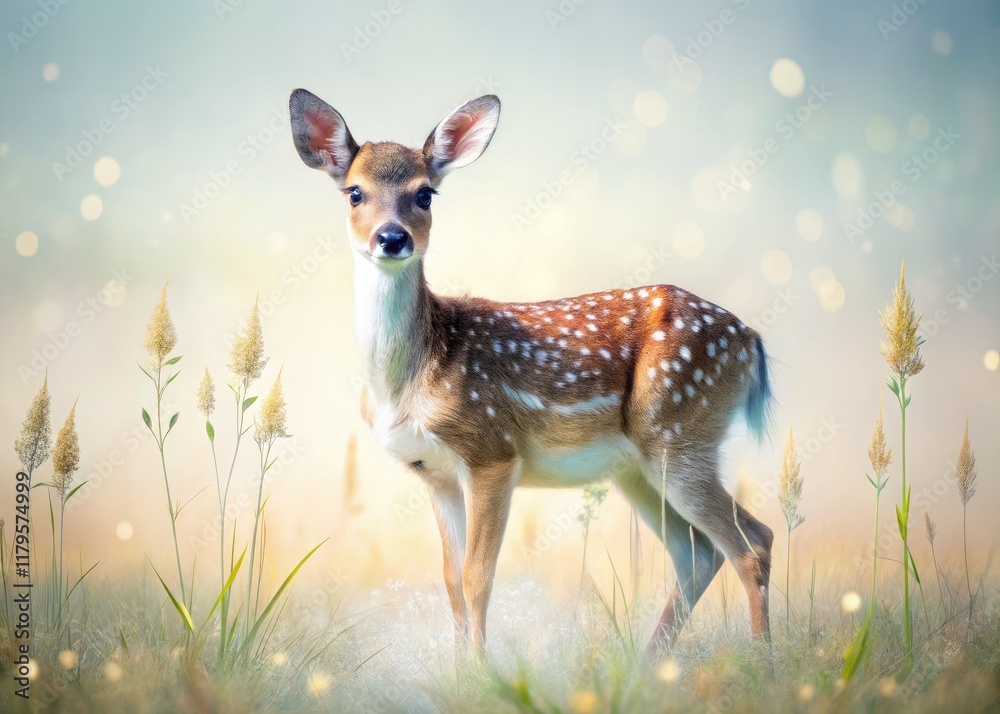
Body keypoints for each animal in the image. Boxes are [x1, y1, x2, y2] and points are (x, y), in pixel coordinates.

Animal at [288, 89, 775, 659]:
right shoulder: (433, 472)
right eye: (354, 193)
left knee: (751, 545)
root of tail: (751, 340)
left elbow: (478, 577)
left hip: (679, 434)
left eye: (425, 194)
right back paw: (647, 663)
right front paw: (461, 671)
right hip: (641, 465)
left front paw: (482, 671)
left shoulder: (492, 451)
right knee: (701, 553)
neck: (408, 382)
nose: (392, 238)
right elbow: (451, 581)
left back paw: (763, 662)